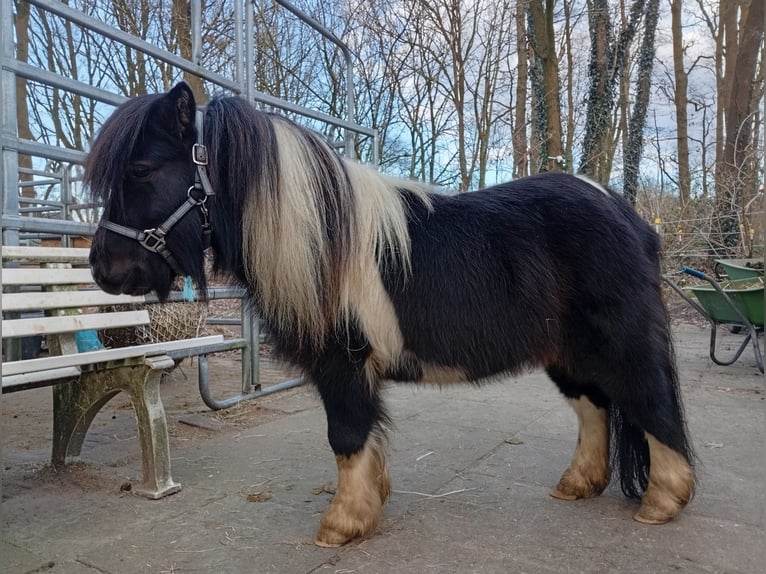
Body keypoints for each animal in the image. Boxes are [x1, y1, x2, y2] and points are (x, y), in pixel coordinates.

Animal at [88, 82, 696, 548]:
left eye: (141, 168)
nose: (103, 269)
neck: (322, 243)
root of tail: (630, 216)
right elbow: (367, 439)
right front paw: (371, 500)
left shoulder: (343, 364)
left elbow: (346, 435)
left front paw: (342, 524)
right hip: (567, 352)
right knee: (594, 407)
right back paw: (578, 484)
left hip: (620, 343)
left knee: (651, 406)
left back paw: (663, 502)